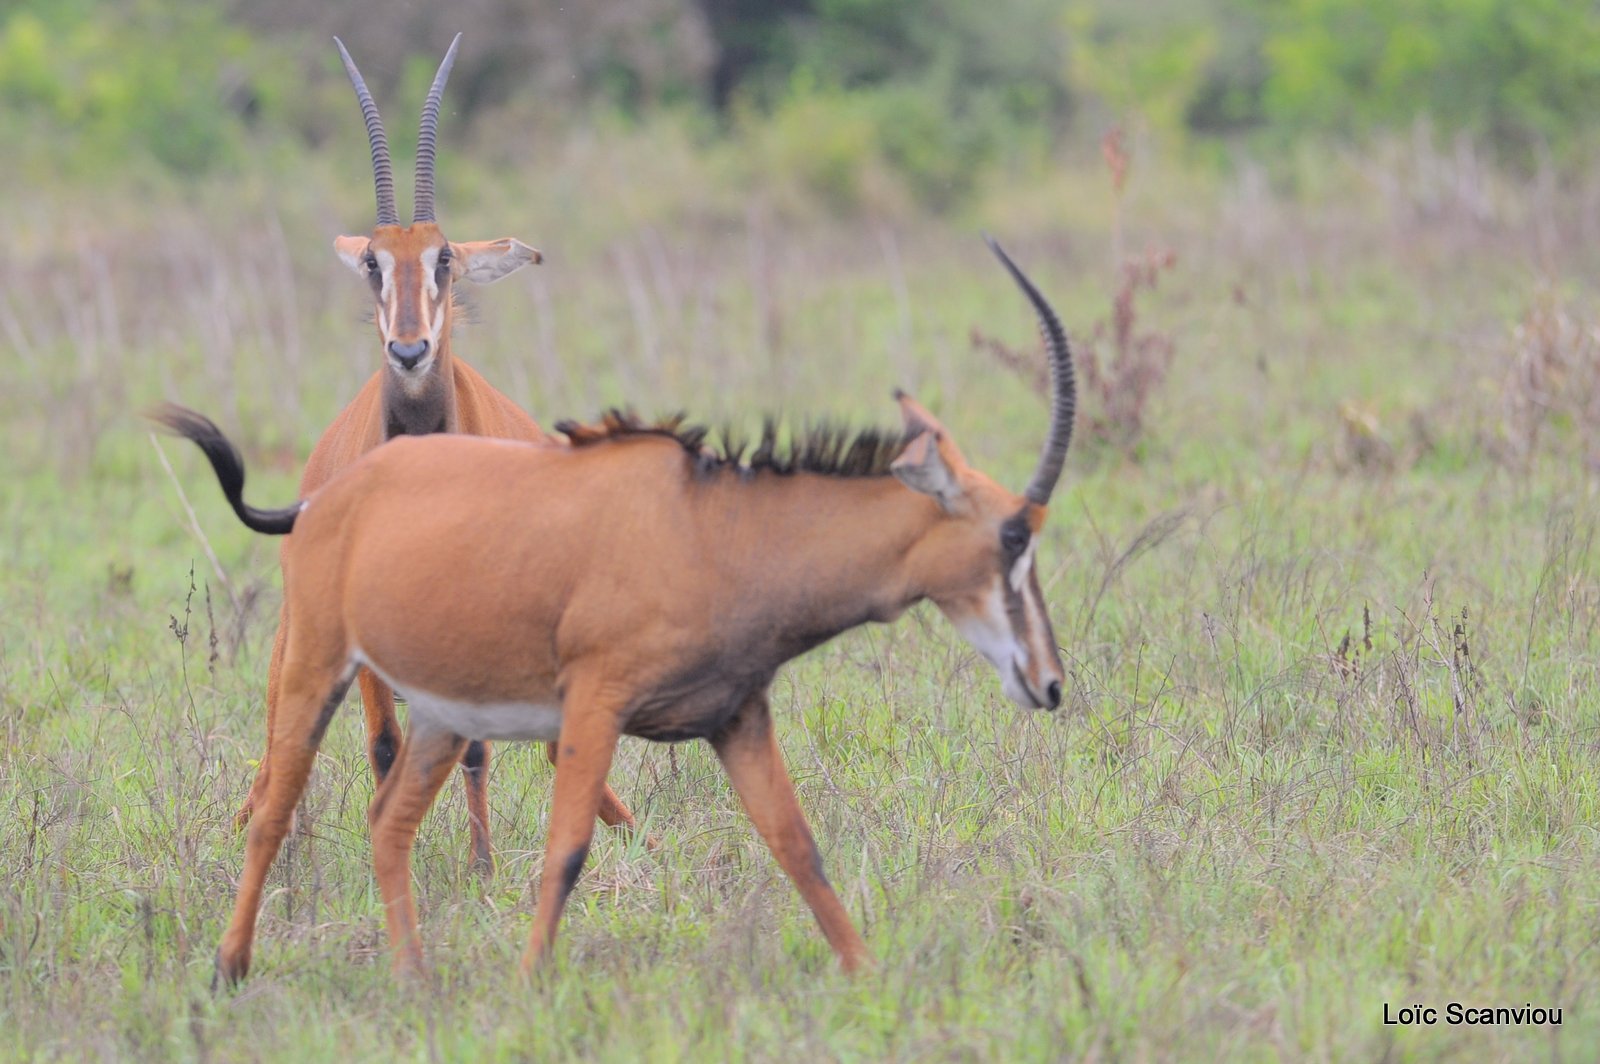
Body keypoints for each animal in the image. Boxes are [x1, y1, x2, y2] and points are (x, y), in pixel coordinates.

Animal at [152, 236, 1075, 985]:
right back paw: (231, 969)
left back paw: (413, 978)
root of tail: (325, 497)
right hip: (318, 664)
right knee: (276, 809)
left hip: (442, 717)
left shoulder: (736, 717)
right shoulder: (594, 707)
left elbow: (797, 845)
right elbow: (566, 852)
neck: (711, 527)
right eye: (1013, 533)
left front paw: (865, 973)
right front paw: (530, 985)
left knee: (389, 823)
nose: (1051, 683)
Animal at [236, 37, 636, 876]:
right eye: (373, 263)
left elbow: (478, 750)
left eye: (444, 257)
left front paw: (481, 868)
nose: (410, 350)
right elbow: (386, 747)